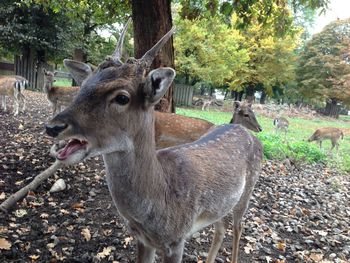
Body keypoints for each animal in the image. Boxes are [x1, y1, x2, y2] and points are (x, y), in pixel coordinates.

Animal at [45, 20, 262, 263]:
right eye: (82, 88)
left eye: (122, 97)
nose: (53, 127)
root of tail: (248, 133)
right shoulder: (142, 239)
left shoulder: (177, 240)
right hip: (222, 204)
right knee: (221, 228)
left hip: (248, 189)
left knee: (238, 227)